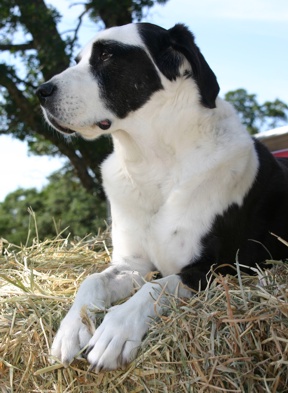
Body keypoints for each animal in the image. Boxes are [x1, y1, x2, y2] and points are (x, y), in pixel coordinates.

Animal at [36, 23, 288, 372]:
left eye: (107, 55)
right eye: (79, 59)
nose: (41, 91)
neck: (151, 162)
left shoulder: (218, 268)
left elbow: (158, 286)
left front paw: (116, 330)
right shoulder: (132, 264)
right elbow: (93, 280)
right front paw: (73, 327)